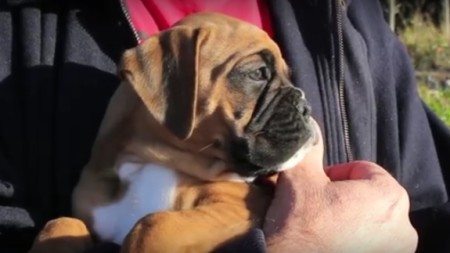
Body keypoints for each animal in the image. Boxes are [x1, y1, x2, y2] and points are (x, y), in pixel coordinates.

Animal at [29, 12, 316, 253]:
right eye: (258, 73)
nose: (306, 107)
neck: (146, 160)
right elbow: (61, 222)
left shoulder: (244, 207)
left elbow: (153, 224)